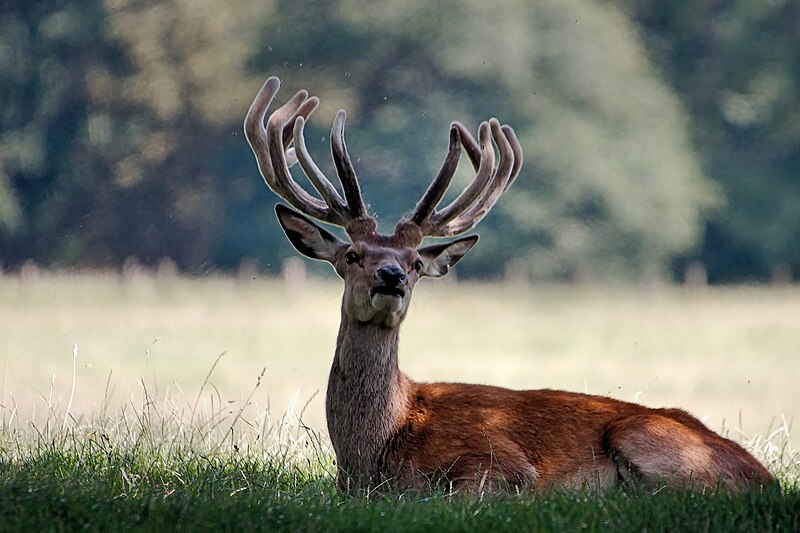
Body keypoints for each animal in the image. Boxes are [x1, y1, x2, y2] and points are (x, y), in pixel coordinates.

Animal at [242, 76, 776, 494]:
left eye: (414, 263)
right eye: (352, 255)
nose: (391, 276)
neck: (374, 454)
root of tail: (764, 477)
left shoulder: (499, 461)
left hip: (644, 437)